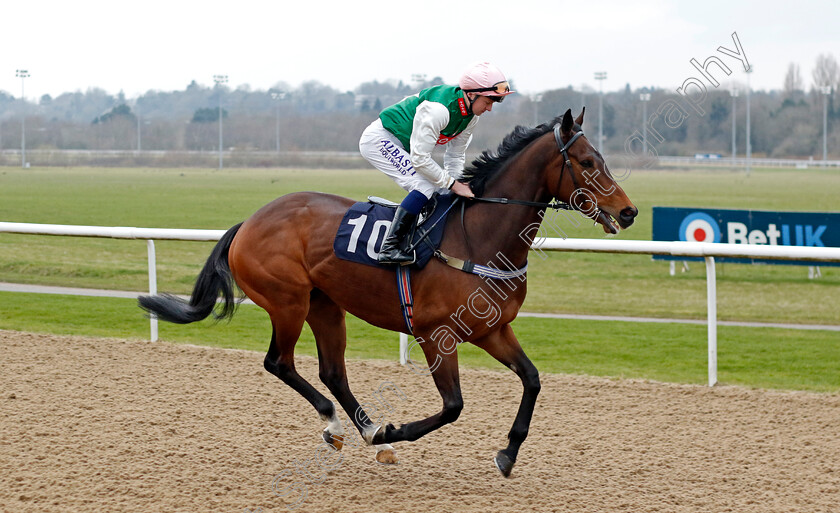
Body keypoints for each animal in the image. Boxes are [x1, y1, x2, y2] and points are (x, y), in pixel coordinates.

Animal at [138, 108, 636, 476]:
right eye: (587, 162)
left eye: (601, 157)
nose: (628, 212)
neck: (479, 237)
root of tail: (249, 221)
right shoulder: (436, 335)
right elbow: (453, 406)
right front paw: (393, 433)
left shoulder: (492, 329)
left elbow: (532, 379)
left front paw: (508, 454)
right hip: (287, 301)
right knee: (279, 362)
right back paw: (349, 426)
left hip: (325, 305)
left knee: (332, 371)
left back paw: (361, 428)